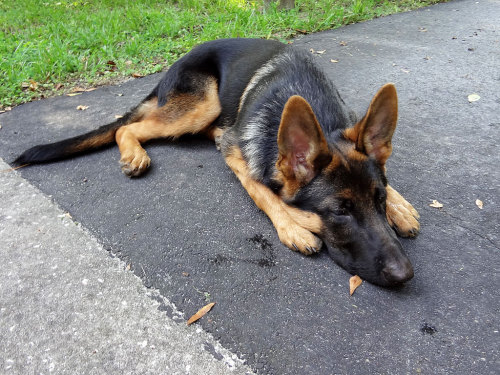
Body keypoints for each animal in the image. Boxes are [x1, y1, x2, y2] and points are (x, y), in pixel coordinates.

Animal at [15, 38, 420, 286]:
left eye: (379, 200)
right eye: (340, 212)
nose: (405, 274)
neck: (314, 103)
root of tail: (173, 66)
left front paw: (401, 207)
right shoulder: (235, 153)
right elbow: (263, 192)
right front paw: (293, 226)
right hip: (201, 104)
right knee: (126, 128)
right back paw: (134, 154)